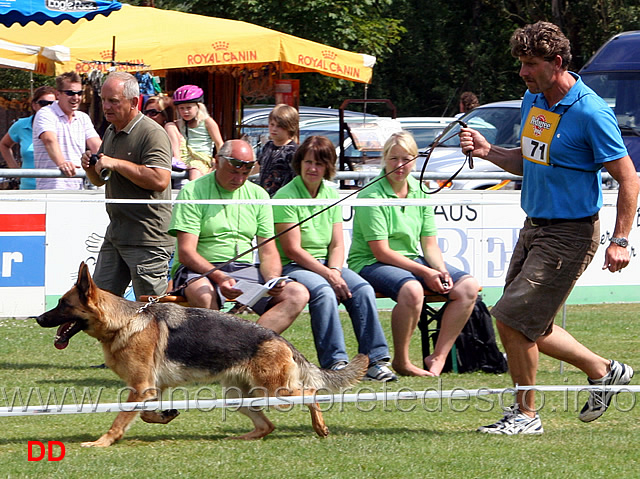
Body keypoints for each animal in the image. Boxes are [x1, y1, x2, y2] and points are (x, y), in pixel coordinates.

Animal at [37, 262, 368, 446]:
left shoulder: (141, 387)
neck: (125, 321)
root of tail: (279, 339)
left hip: (277, 393)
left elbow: (120, 420)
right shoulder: (149, 389)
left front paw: (103, 442)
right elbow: (144, 413)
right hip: (239, 397)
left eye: (63, 304)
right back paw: (241, 438)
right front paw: (165, 416)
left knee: (311, 394)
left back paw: (319, 426)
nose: (39, 318)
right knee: (267, 425)